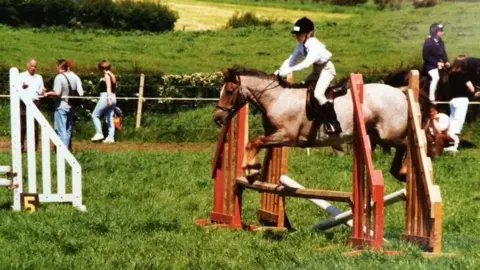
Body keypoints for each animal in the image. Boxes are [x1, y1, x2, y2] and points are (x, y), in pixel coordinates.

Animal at [214, 66, 408, 181]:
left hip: (389, 134)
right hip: (378, 136)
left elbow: (255, 142)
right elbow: (253, 143)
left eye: (229, 91)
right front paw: (252, 168)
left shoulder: (286, 136)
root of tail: (400, 92)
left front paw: (250, 169)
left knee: (407, 145)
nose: (217, 118)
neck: (277, 99)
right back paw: (399, 172)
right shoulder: (274, 135)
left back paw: (404, 171)